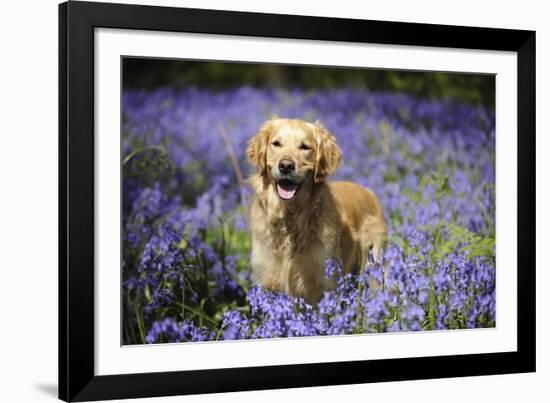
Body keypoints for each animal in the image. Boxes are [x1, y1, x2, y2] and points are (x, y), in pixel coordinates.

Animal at [248, 118, 386, 304]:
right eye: (276, 144)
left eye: (305, 147)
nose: (286, 166)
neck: (290, 217)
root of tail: (369, 192)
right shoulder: (269, 282)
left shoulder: (322, 285)